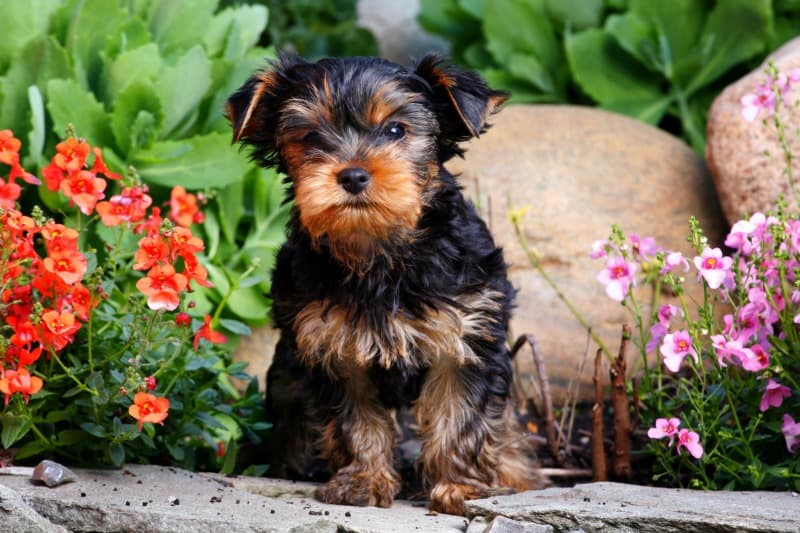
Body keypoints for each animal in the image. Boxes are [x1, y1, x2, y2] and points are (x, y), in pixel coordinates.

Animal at [228, 53, 548, 512]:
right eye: (310, 136)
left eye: (396, 130)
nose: (353, 175)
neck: (378, 249)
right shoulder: (334, 347)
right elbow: (355, 418)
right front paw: (363, 480)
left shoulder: (465, 337)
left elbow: (460, 414)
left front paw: (459, 485)